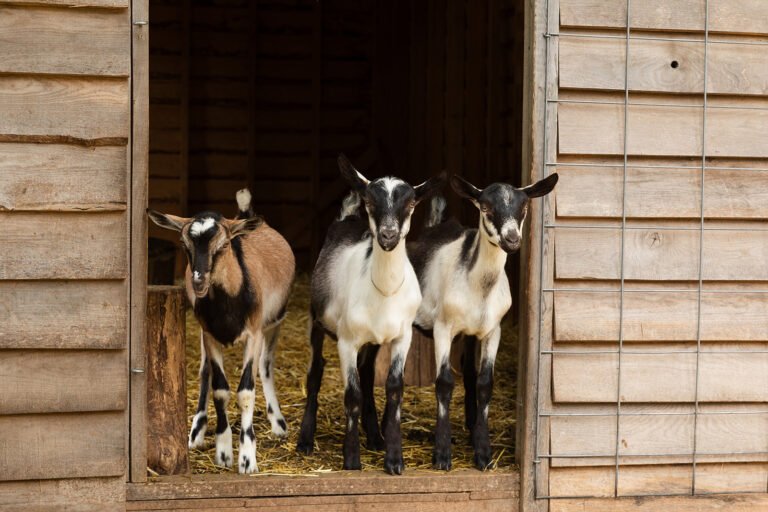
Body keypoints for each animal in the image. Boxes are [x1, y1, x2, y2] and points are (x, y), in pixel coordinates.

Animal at [147, 189, 295, 474]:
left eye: (224, 245)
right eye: (185, 245)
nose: (198, 281)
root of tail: (245, 215)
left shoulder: (254, 334)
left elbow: (246, 390)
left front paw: (247, 459)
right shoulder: (210, 336)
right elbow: (219, 388)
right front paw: (224, 451)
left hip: (274, 323)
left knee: (266, 365)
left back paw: (278, 423)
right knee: (205, 371)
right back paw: (196, 431)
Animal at [296, 154, 444, 475]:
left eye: (410, 203)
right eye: (369, 201)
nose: (388, 235)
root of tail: (347, 219)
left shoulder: (402, 336)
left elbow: (394, 389)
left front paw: (394, 458)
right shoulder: (346, 341)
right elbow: (351, 395)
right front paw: (351, 459)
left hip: (375, 340)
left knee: (366, 373)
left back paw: (375, 436)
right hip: (316, 319)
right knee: (315, 372)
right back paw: (305, 440)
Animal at [408, 173, 558, 470]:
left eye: (524, 207)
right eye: (486, 207)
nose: (512, 239)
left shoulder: (492, 330)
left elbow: (484, 382)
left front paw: (483, 452)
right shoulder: (443, 327)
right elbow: (443, 382)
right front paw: (442, 455)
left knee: (468, 370)